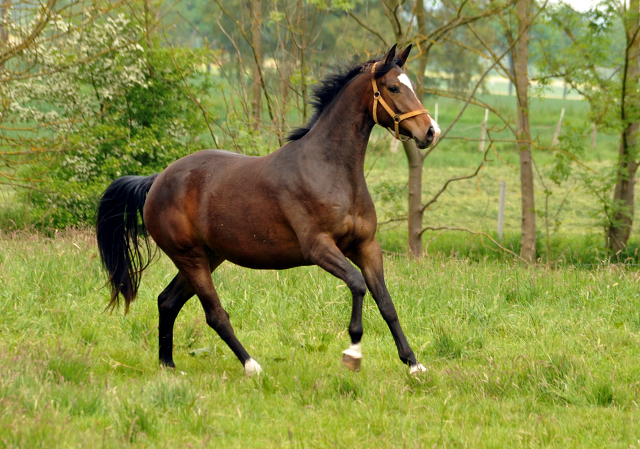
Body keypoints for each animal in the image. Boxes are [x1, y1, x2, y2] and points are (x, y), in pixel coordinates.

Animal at [96, 44, 440, 374]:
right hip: (190, 257)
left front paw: (414, 364)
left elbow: (386, 303)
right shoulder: (319, 247)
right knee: (214, 314)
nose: (430, 132)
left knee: (167, 301)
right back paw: (252, 366)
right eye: (393, 88)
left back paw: (167, 365)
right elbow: (357, 284)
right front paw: (353, 353)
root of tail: (156, 180)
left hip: (208, 256)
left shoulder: (366, 246)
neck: (330, 170)